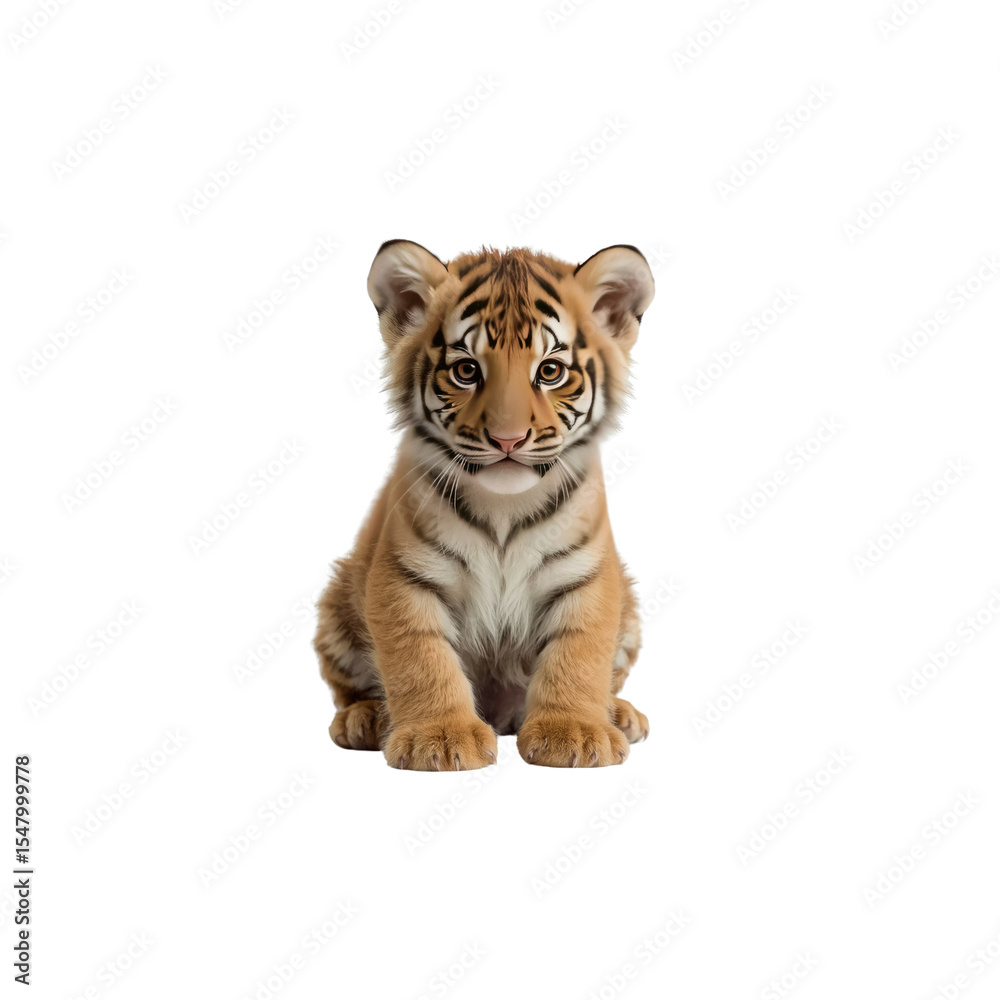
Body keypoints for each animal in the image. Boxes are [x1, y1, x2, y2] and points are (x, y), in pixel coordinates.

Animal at [313, 239, 655, 769]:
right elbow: (420, 657)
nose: (507, 439)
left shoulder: (586, 575)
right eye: (466, 370)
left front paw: (574, 733)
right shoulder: (406, 575)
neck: (504, 510)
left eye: (550, 371)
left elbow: (579, 652)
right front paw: (438, 738)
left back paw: (618, 715)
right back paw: (365, 719)